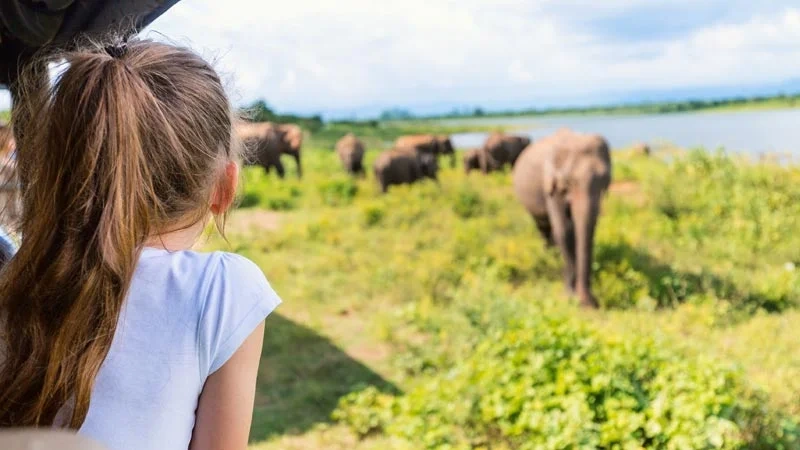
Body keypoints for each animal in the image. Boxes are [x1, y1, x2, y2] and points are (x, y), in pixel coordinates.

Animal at [512, 128, 612, 308]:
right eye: (570, 180)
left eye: (605, 180)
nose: (592, 303)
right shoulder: (551, 184)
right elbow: (564, 230)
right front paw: (570, 295)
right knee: (543, 226)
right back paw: (550, 255)